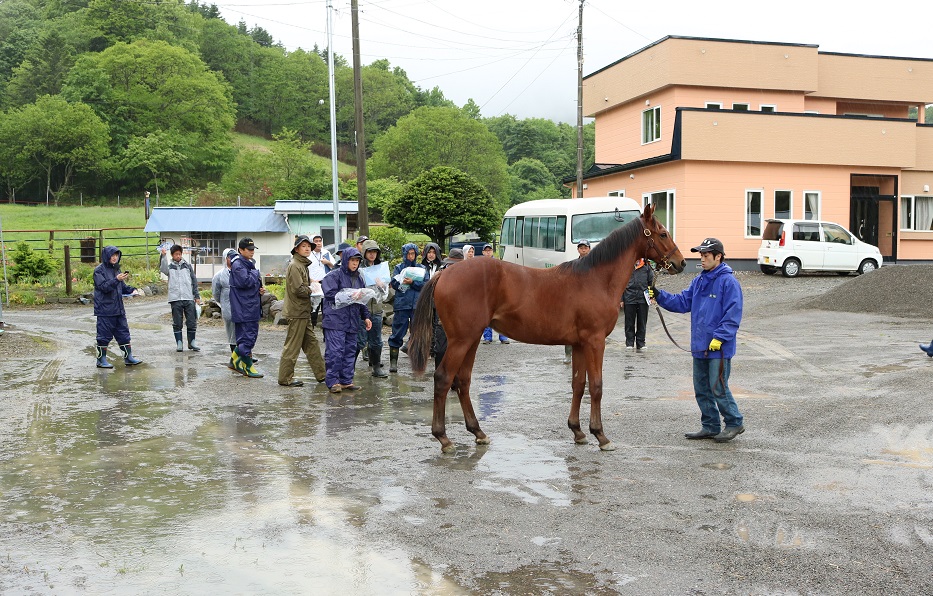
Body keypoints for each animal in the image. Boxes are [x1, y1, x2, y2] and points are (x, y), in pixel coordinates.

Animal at [408, 204, 684, 452]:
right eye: (662, 234)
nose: (680, 263)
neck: (596, 279)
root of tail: (443, 273)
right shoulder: (595, 342)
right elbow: (596, 386)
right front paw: (600, 435)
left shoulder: (579, 344)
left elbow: (578, 385)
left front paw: (577, 431)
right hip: (461, 340)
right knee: (443, 379)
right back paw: (444, 438)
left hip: (471, 339)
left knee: (462, 381)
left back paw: (478, 432)